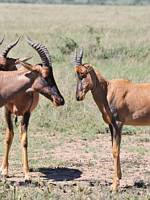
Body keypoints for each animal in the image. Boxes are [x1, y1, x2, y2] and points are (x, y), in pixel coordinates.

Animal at [0, 37, 64, 181]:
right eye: (45, 75)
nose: (60, 100)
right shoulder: (6, 111)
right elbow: (8, 137)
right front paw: (4, 171)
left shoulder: (27, 113)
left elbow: (24, 140)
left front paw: (27, 174)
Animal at [74, 48, 150, 191]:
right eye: (76, 75)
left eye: (83, 73)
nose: (78, 97)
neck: (108, 89)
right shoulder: (110, 125)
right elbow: (114, 149)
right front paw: (118, 178)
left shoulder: (118, 124)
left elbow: (115, 150)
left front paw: (114, 186)